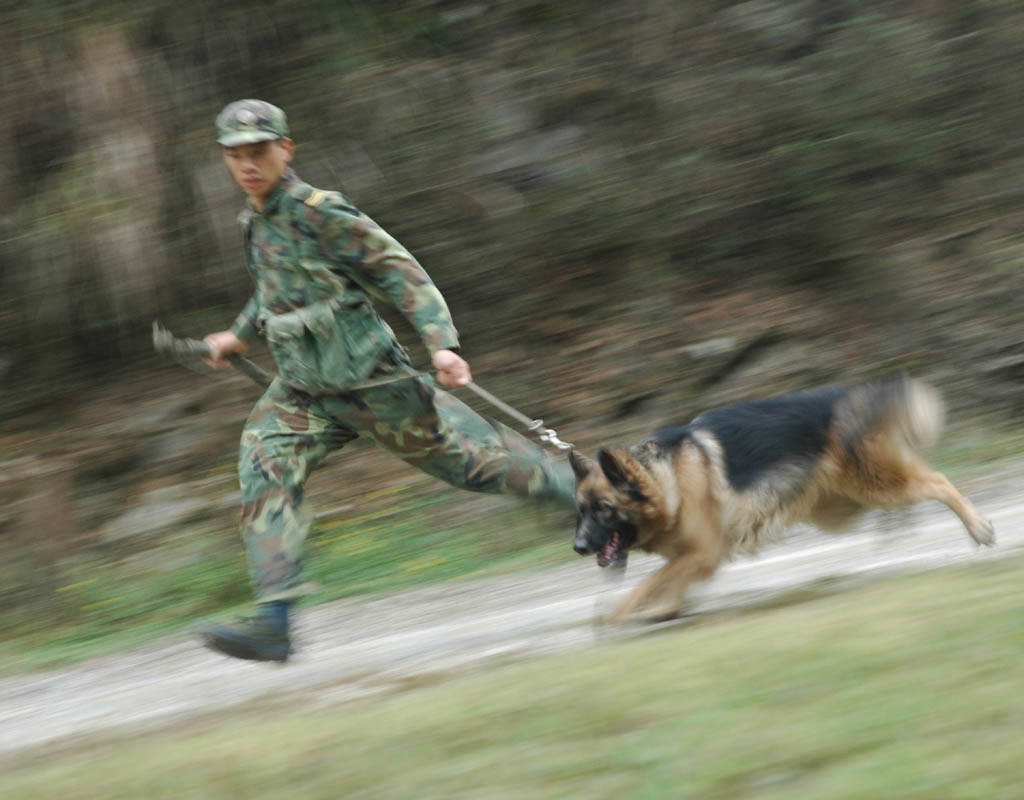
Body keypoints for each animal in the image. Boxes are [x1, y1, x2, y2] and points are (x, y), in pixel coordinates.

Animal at [569, 374, 991, 622]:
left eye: (604, 509)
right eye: (581, 510)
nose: (577, 547)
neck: (668, 478)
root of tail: (845, 396)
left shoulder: (701, 553)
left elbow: (647, 585)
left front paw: (618, 612)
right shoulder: (692, 559)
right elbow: (664, 592)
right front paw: (656, 612)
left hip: (876, 485)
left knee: (937, 481)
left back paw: (977, 527)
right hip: (846, 500)